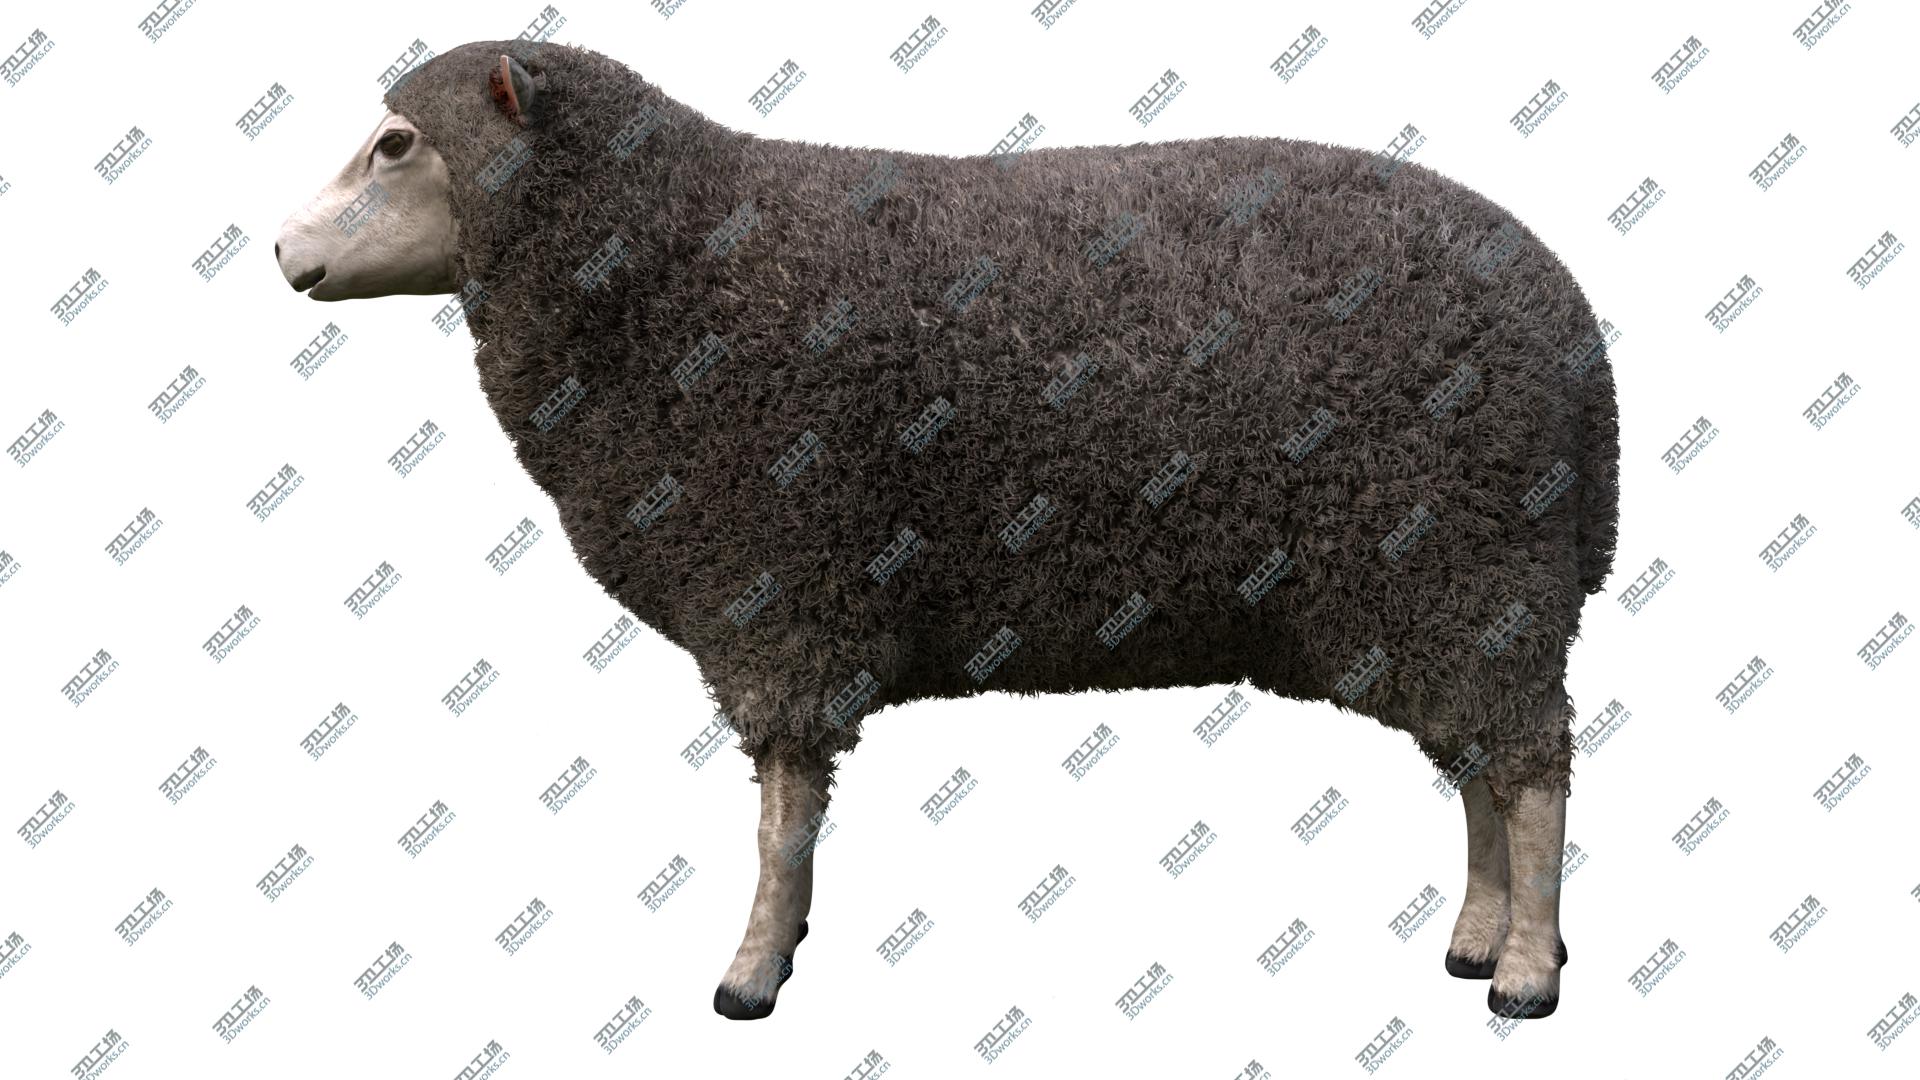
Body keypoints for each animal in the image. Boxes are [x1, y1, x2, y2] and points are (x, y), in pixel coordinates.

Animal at [275, 38, 1620, 1023]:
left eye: (398, 141)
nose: (283, 248)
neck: (669, 271)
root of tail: (1573, 328)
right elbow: (791, 812)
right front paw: (782, 943)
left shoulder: (780, 591)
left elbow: (781, 815)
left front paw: (753, 970)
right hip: (1440, 594)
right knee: (1483, 771)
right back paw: (1476, 935)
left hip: (1468, 564)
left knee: (1534, 771)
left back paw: (1526, 972)